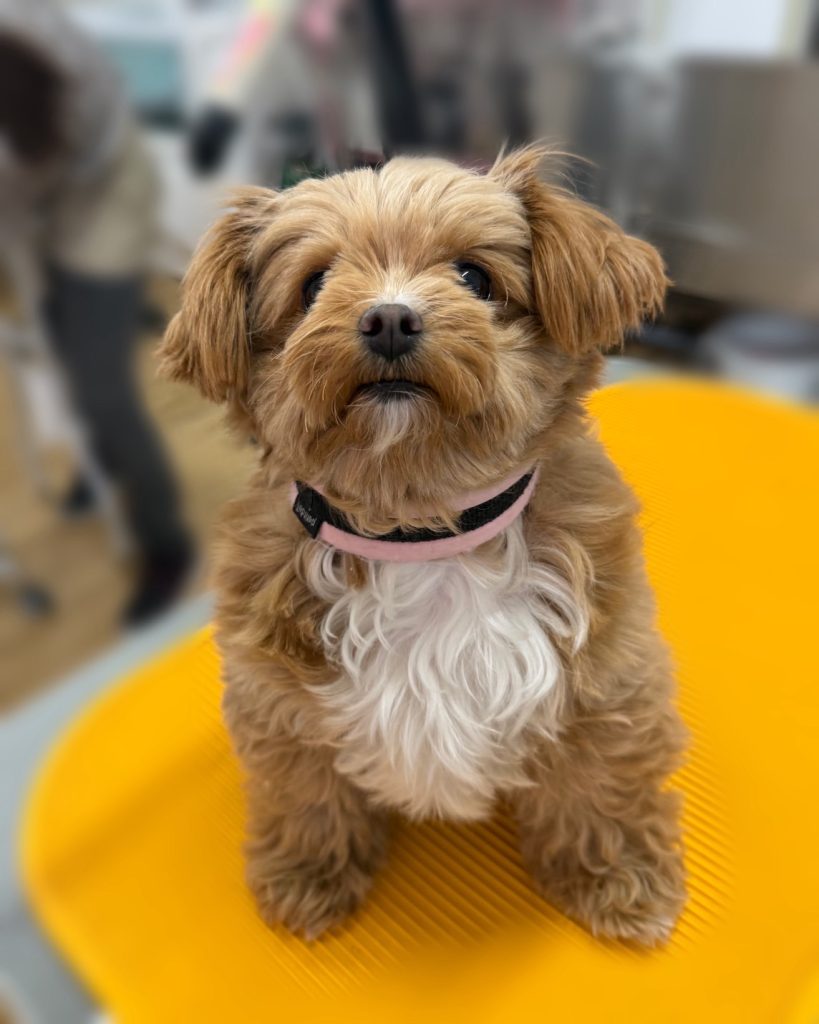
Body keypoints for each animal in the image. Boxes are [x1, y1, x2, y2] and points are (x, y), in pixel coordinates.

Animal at [159, 147, 687, 945]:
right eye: (314, 284)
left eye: (474, 276)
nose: (388, 317)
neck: (420, 536)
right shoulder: (278, 707)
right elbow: (307, 797)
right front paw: (308, 877)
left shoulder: (609, 678)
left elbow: (602, 788)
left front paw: (619, 880)